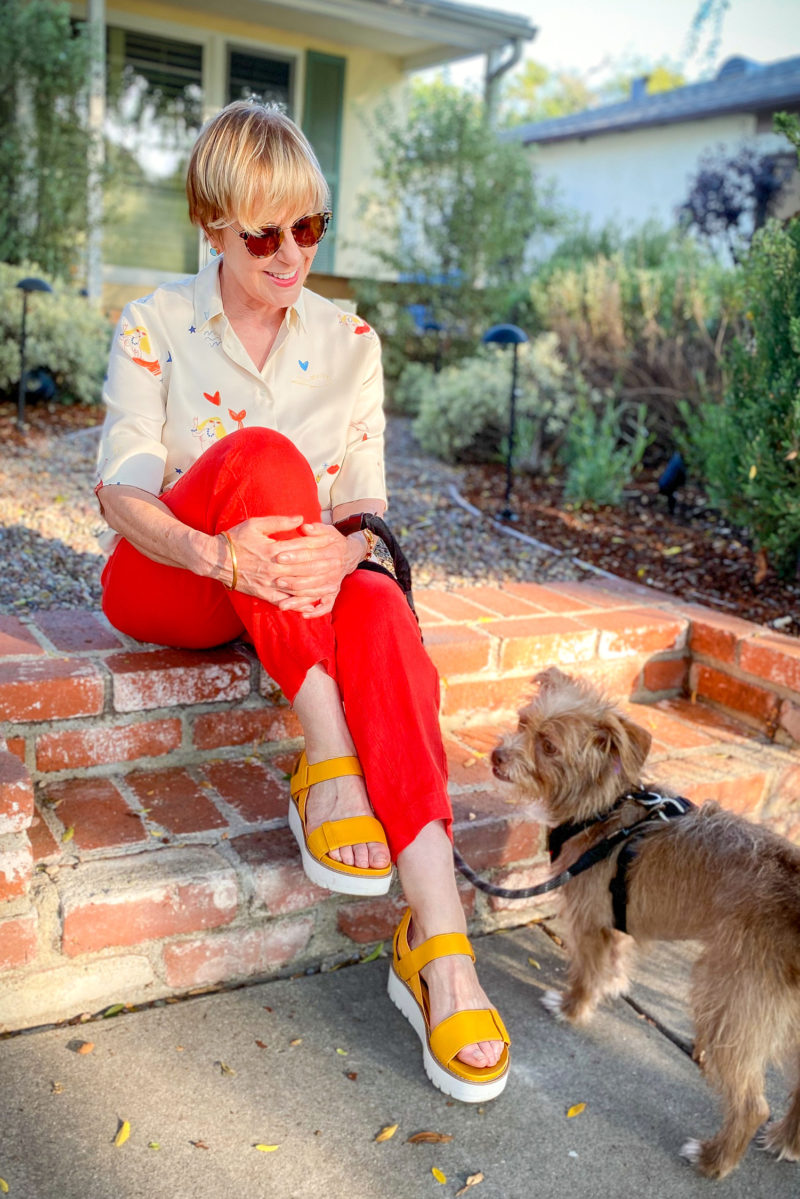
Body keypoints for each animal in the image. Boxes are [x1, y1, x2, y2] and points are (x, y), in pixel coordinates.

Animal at [491, 666, 800, 1179]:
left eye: (548, 746)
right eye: (522, 723)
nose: (496, 756)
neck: (605, 810)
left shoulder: (589, 922)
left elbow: (586, 970)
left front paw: (573, 1007)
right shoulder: (614, 921)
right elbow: (614, 960)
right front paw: (612, 986)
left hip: (726, 1007)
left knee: (752, 1105)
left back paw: (713, 1160)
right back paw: (786, 1142)